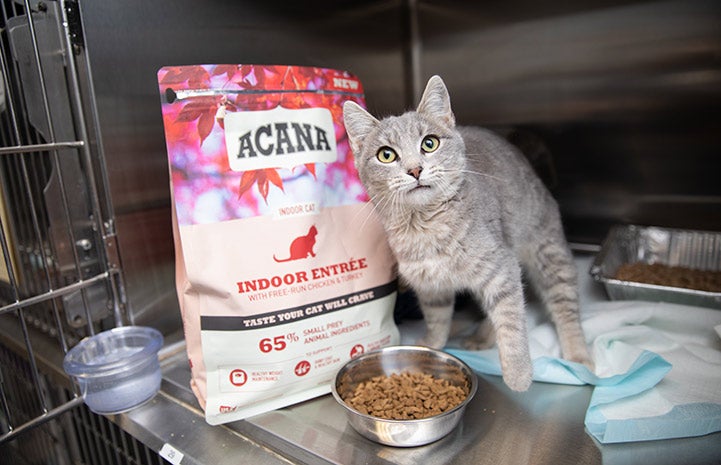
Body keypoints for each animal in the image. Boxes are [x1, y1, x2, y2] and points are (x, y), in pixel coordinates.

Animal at [344, 76, 592, 392]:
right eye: (386, 155)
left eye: (429, 143)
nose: (415, 170)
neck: (425, 227)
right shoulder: (431, 287)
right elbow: (438, 320)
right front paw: (432, 345)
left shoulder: (502, 267)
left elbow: (511, 323)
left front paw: (518, 373)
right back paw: (480, 335)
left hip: (548, 253)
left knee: (563, 306)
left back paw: (578, 355)